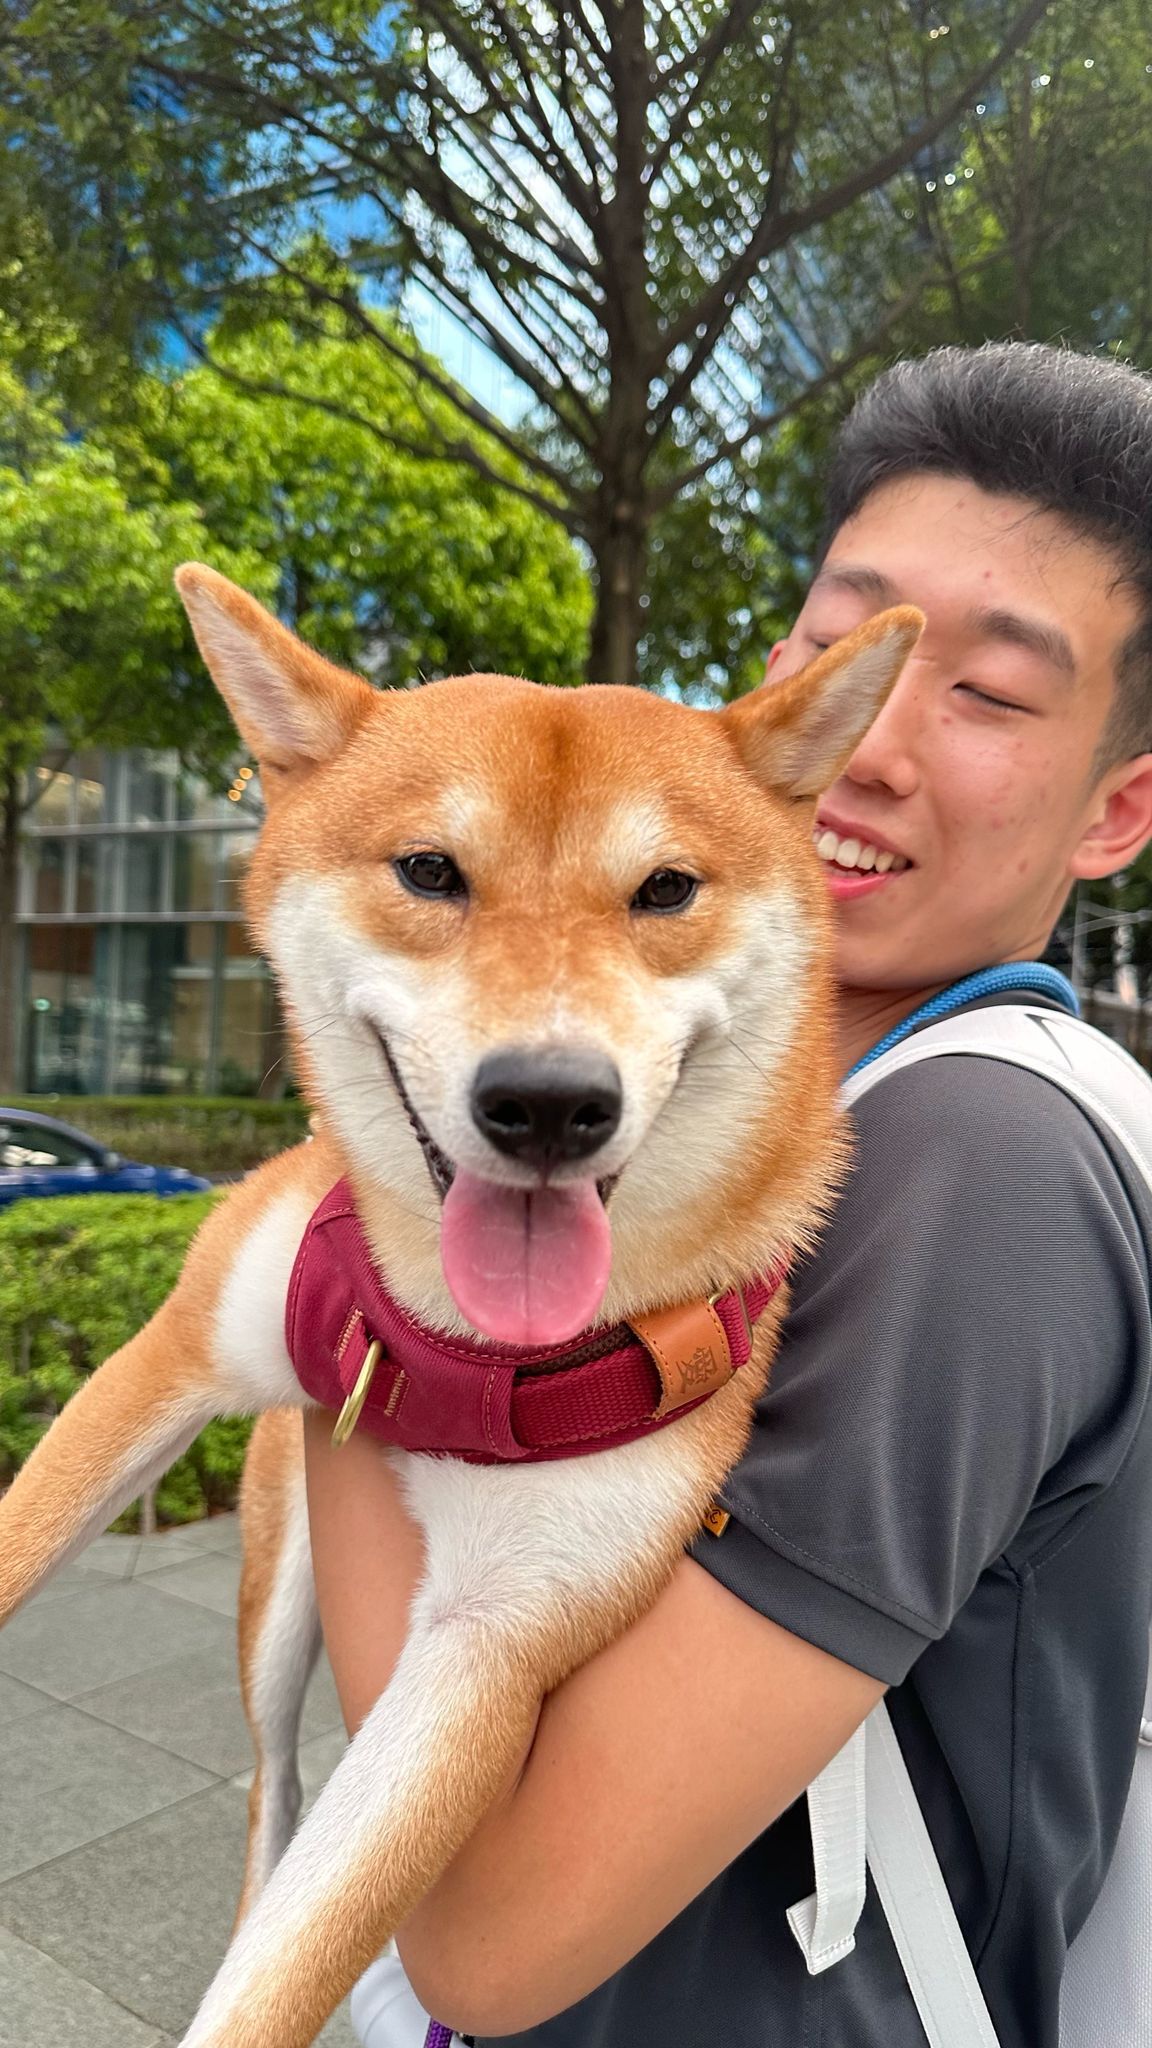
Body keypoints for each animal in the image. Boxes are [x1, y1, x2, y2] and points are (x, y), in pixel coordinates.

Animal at [0, 567, 921, 2046]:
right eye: (431, 871)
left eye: (666, 889)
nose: (548, 1101)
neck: (448, 1337)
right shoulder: (175, 1349)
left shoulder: (491, 1643)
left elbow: (289, 1973)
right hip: (278, 1580)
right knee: (270, 1771)